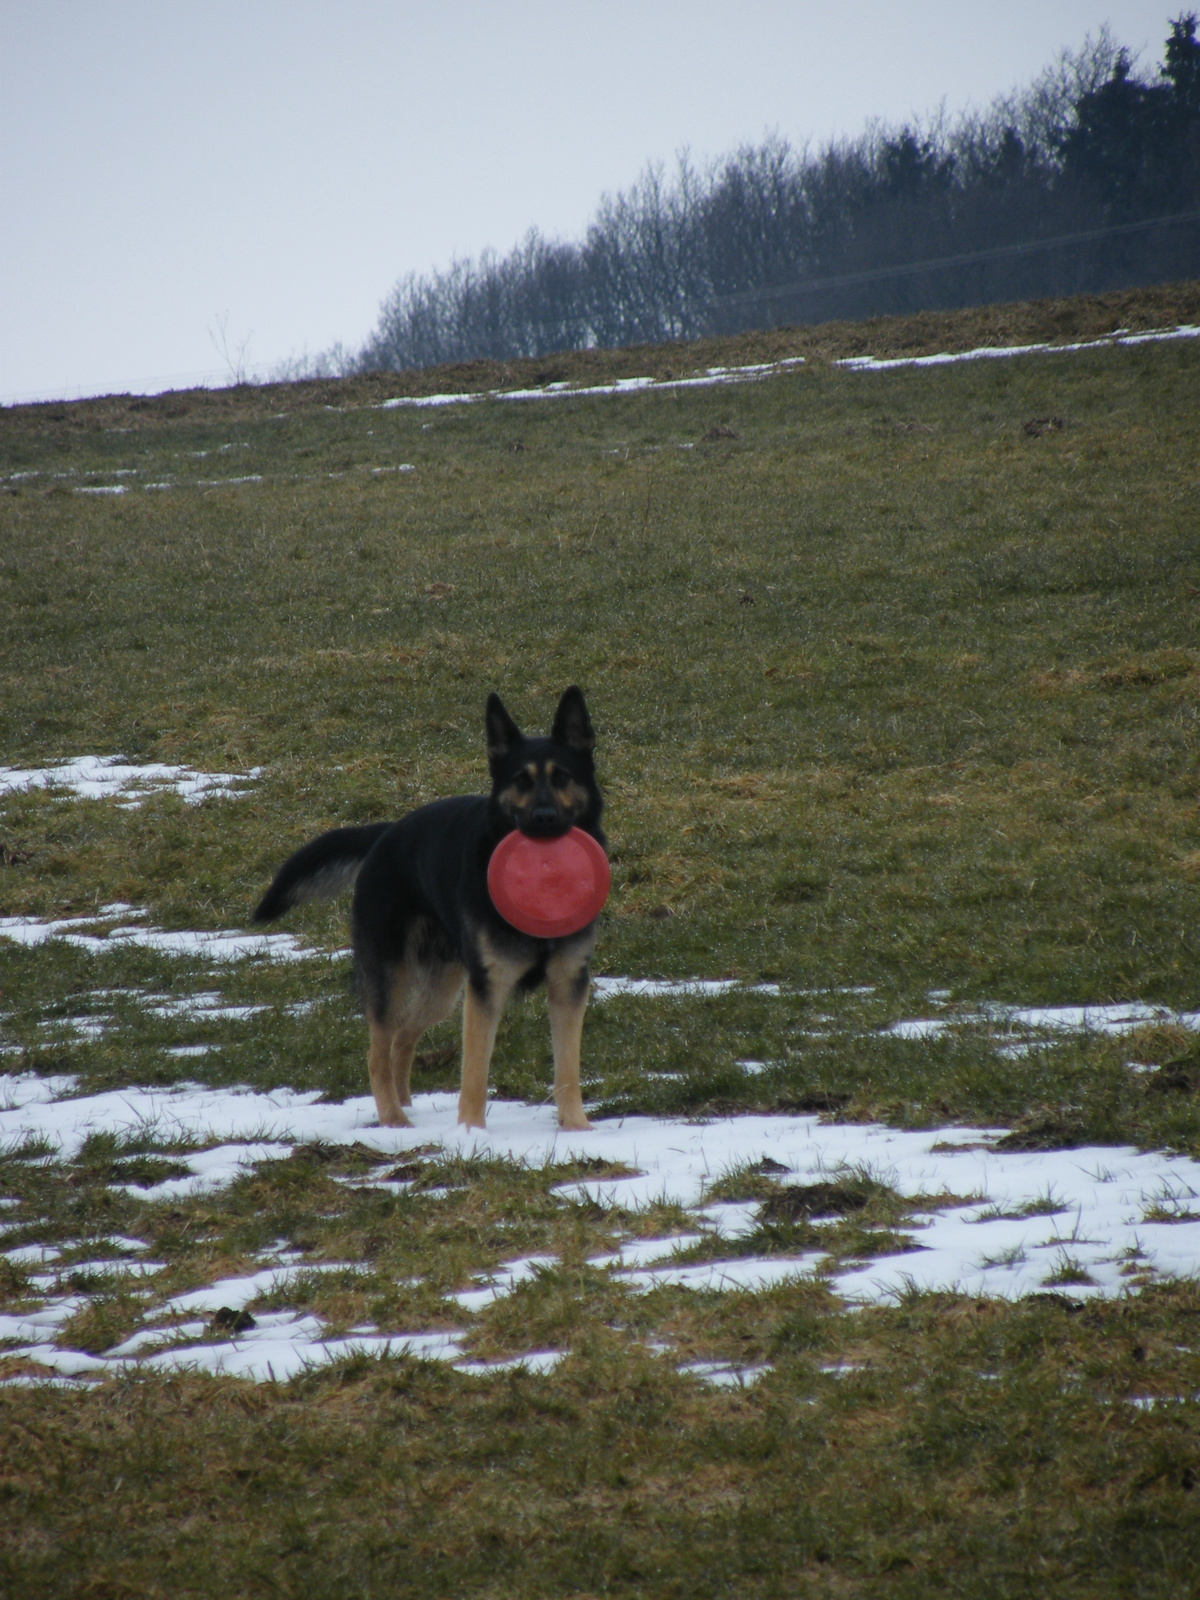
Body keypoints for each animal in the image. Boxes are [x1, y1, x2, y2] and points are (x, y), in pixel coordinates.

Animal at [254, 694, 611, 1132]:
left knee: (404, 1035)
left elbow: (568, 1069)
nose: (544, 820)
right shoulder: (486, 988)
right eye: (521, 781)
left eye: (562, 778)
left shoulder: (568, 985)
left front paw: (577, 1129)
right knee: (378, 1051)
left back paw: (407, 1104)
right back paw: (393, 1119)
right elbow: (474, 1071)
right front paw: (471, 1132)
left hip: (442, 989)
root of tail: (387, 833)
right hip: (390, 978)